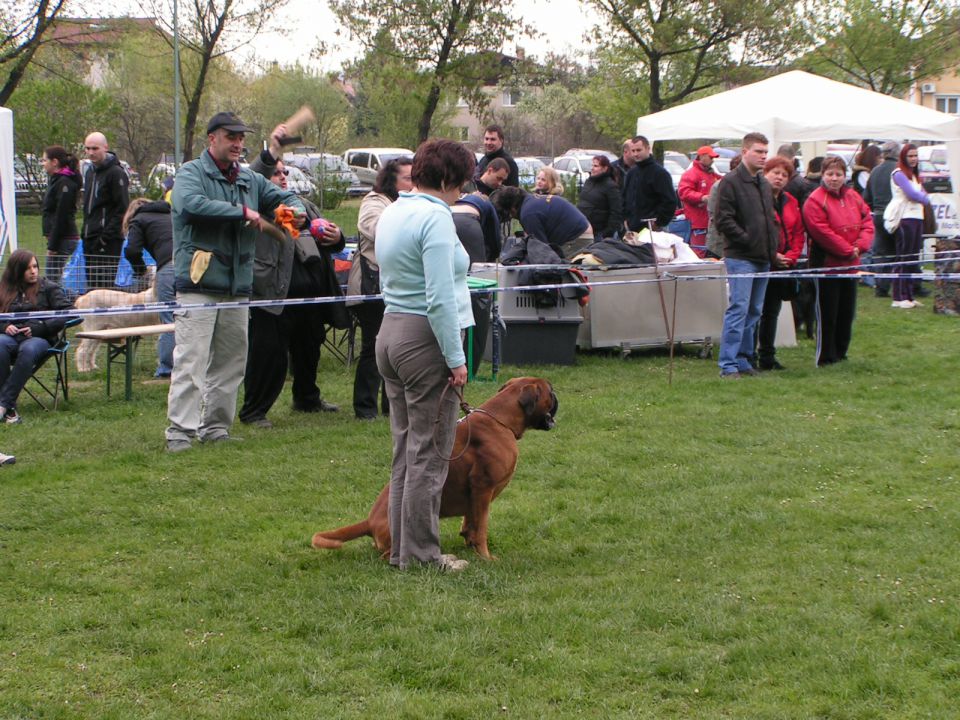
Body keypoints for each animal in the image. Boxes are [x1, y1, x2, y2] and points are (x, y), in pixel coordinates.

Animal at [312, 376, 560, 564]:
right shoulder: (483, 489)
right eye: (550, 391)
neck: (500, 421)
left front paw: (470, 543)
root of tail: (369, 521)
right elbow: (482, 527)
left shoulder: (474, 494)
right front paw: (485, 557)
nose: (557, 395)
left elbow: (471, 522)